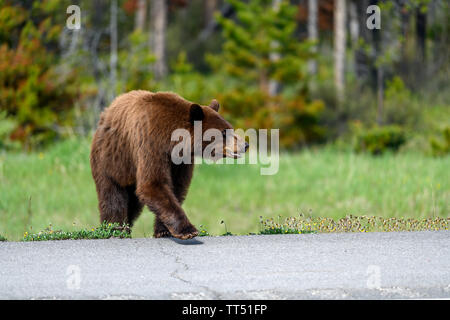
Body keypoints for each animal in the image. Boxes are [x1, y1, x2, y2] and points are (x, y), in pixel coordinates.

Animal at [89, 91, 248, 239]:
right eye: (224, 132)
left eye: (230, 128)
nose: (245, 145)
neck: (171, 140)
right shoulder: (151, 144)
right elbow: (153, 183)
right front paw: (187, 230)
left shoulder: (180, 160)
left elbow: (176, 187)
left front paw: (164, 230)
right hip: (109, 160)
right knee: (112, 196)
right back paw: (115, 229)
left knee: (133, 204)